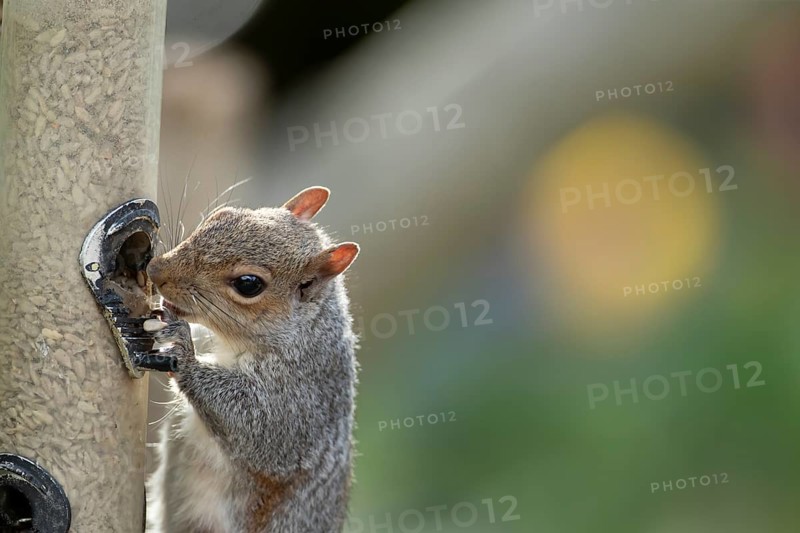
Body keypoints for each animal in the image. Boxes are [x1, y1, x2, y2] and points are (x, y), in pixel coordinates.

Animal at [144, 186, 360, 533]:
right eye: (221, 215)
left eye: (248, 284)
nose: (156, 271)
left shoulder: (300, 398)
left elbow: (256, 428)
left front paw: (182, 351)